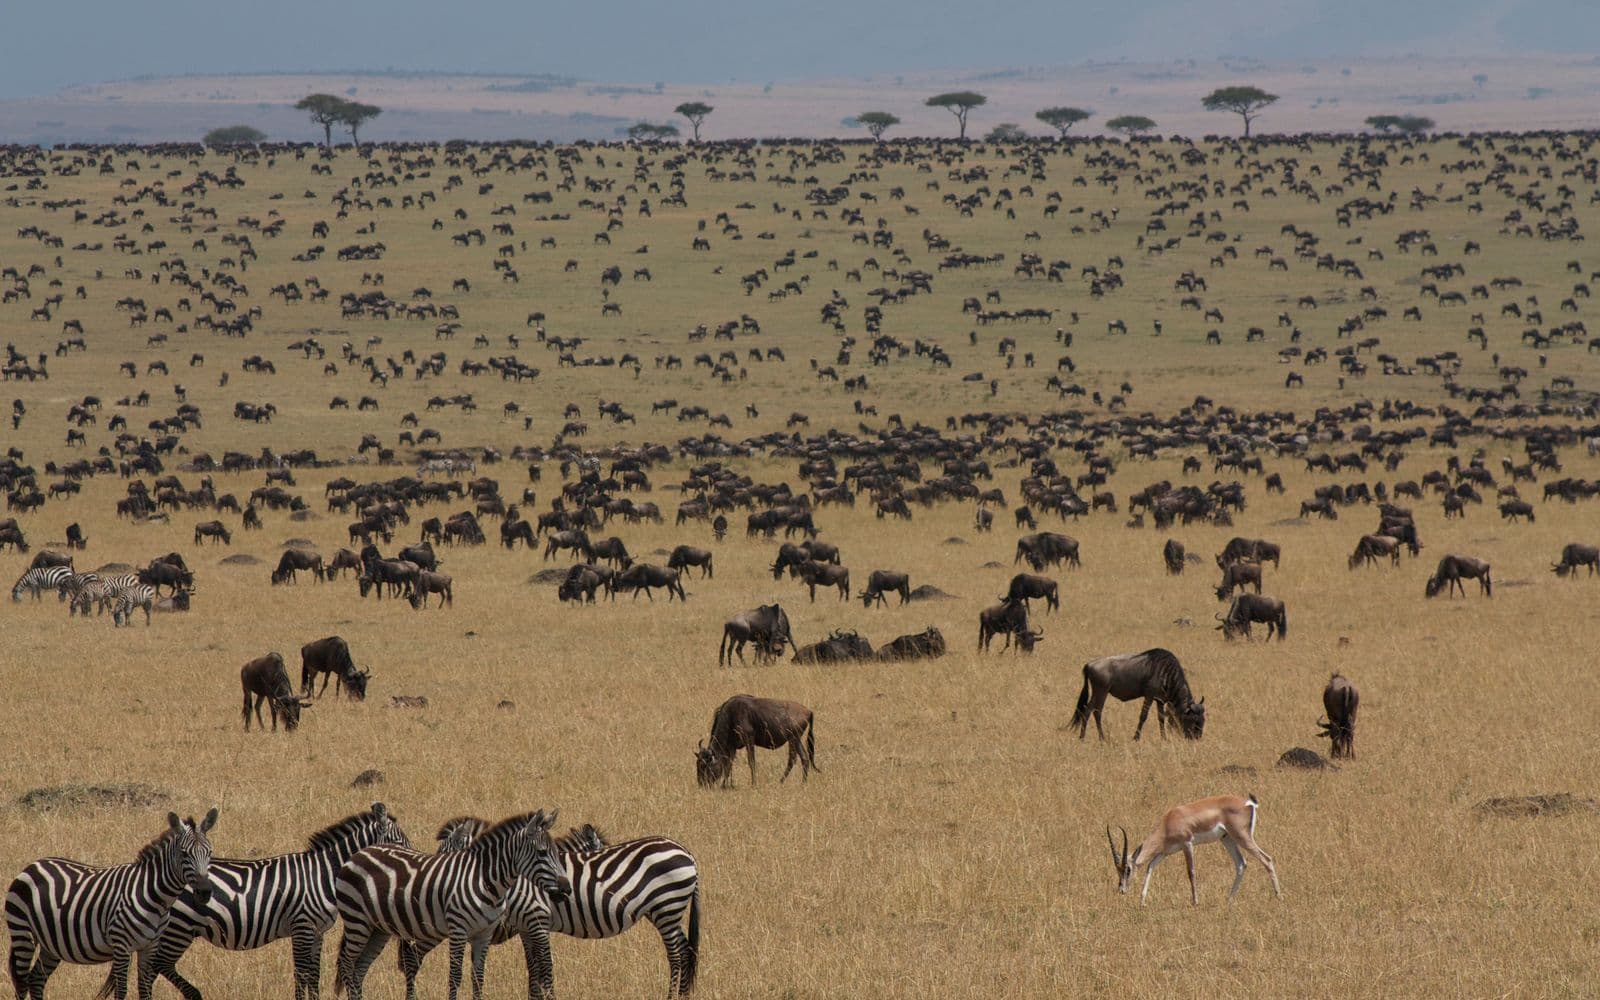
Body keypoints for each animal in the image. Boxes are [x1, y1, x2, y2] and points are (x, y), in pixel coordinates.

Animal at [6, 810, 218, 1000]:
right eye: (184, 854)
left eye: (210, 852)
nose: (205, 891)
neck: (155, 898)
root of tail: (32, 865)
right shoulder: (121, 946)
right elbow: (121, 991)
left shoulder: (149, 946)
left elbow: (145, 991)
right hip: (23, 933)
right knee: (22, 984)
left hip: (50, 943)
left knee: (36, 979)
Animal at [137, 804, 411, 1000]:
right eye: (400, 844)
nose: (412, 859)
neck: (324, 874)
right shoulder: (302, 926)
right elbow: (301, 974)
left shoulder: (317, 931)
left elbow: (314, 976)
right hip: (179, 928)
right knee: (156, 967)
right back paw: (192, 993)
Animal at [333, 809, 568, 1000]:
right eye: (542, 853)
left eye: (556, 852)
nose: (566, 888)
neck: (485, 881)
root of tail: (359, 853)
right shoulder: (458, 929)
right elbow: (455, 976)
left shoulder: (483, 933)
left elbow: (478, 977)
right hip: (357, 921)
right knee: (346, 963)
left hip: (378, 929)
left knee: (359, 968)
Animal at [418, 817, 701, 997]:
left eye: (443, 855)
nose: (427, 889)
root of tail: (687, 853)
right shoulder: (525, 926)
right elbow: (533, 970)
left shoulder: (537, 919)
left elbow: (543, 969)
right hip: (666, 911)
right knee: (685, 949)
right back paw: (682, 995)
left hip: (666, 907)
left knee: (677, 954)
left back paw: (672, 996)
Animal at [1107, 794, 1281, 906]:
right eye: (1118, 870)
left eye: (1128, 869)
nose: (1121, 889)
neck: (1168, 822)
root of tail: (1248, 803)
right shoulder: (1164, 852)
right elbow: (1150, 867)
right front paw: (1142, 901)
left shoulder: (1187, 844)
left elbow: (1191, 872)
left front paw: (1195, 902)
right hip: (1227, 838)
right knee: (1241, 864)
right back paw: (1229, 900)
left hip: (1241, 836)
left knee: (1267, 859)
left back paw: (1279, 897)